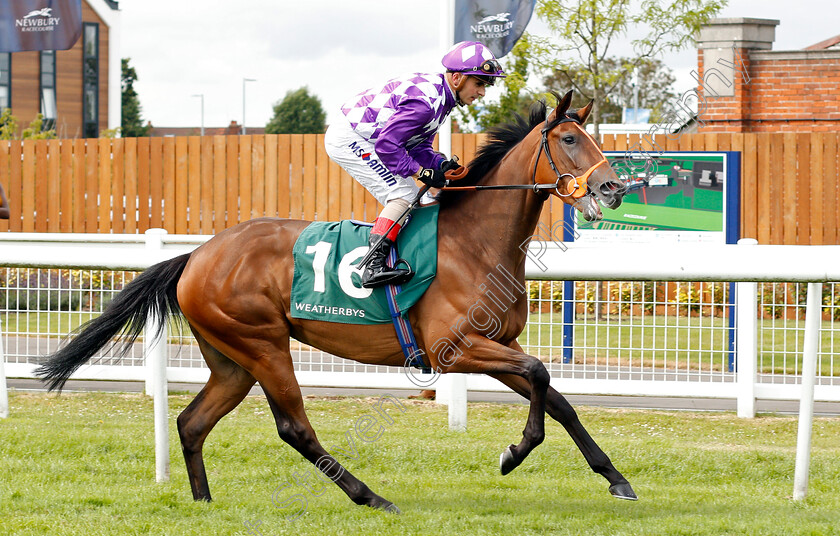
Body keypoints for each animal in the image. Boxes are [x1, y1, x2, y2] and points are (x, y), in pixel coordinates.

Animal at [34, 90, 636, 512]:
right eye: (569, 140)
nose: (613, 188)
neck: (476, 241)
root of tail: (197, 255)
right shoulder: (456, 348)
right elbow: (540, 375)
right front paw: (514, 454)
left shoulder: (492, 347)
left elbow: (555, 396)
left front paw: (617, 479)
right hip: (263, 345)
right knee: (293, 428)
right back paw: (371, 496)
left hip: (231, 360)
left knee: (191, 422)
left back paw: (203, 501)